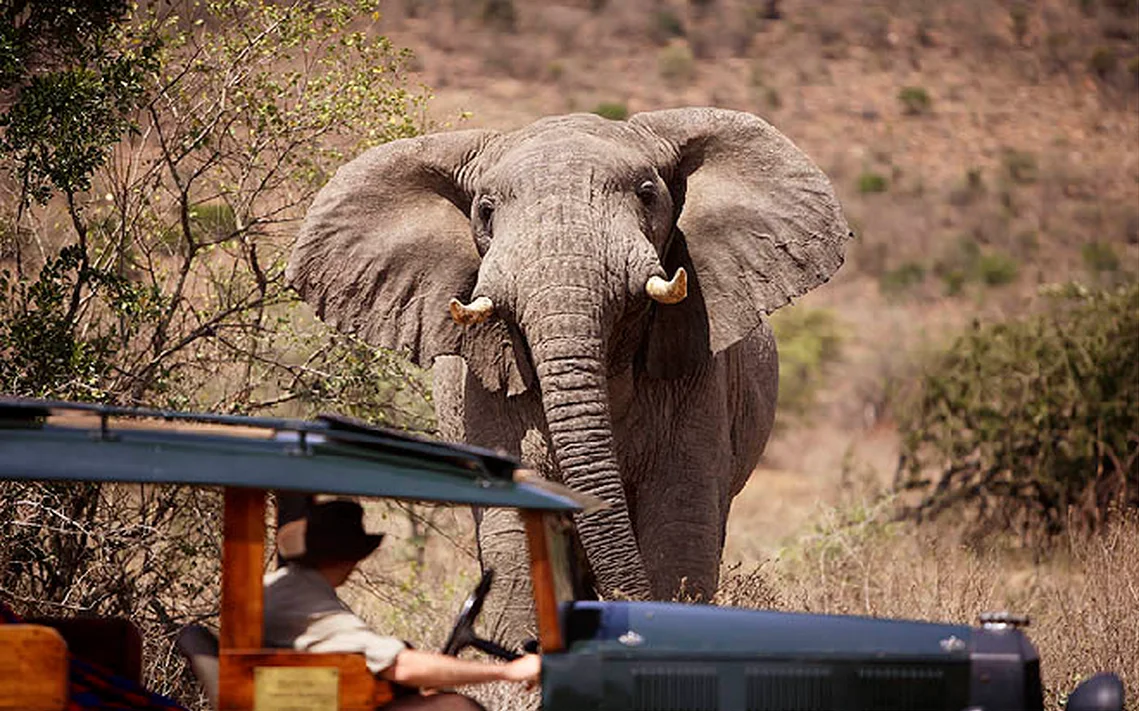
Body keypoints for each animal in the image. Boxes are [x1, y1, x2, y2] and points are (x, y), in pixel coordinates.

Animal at [287, 107, 851, 638]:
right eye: (485, 211)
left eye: (648, 194)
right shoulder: (487, 392)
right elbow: (514, 536)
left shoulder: (700, 378)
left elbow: (679, 528)